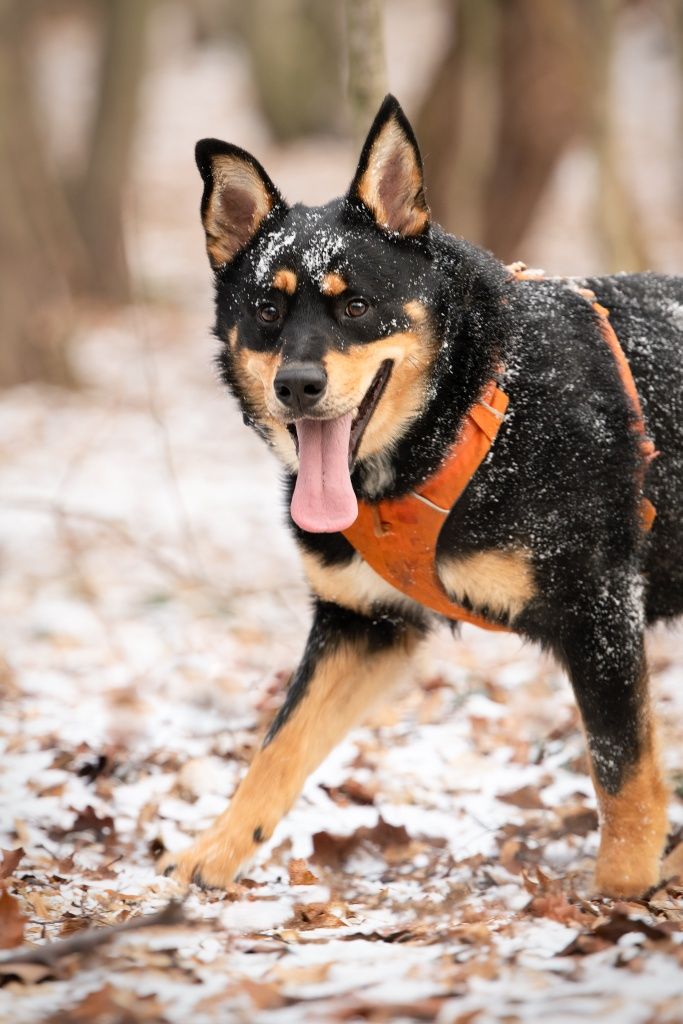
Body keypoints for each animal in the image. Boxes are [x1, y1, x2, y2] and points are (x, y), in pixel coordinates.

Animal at [161, 96, 683, 897]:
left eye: (356, 307)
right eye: (267, 311)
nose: (296, 386)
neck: (474, 407)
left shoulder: (599, 613)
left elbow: (621, 774)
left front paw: (622, 897)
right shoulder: (362, 623)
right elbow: (277, 748)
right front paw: (212, 855)